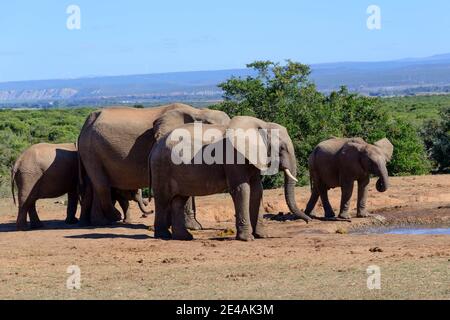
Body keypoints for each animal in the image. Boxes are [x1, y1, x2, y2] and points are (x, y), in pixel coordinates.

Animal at [77, 104, 230, 226]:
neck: (197, 111)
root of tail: (85, 124)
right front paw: (193, 227)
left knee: (93, 186)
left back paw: (97, 222)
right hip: (90, 149)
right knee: (101, 184)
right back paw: (111, 218)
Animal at [149, 115, 312, 240]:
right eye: (282, 148)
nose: (309, 221)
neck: (262, 125)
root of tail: (154, 148)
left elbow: (257, 190)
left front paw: (262, 236)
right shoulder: (234, 156)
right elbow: (242, 189)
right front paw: (247, 239)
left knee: (179, 200)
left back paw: (184, 237)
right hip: (161, 167)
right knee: (163, 200)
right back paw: (163, 235)